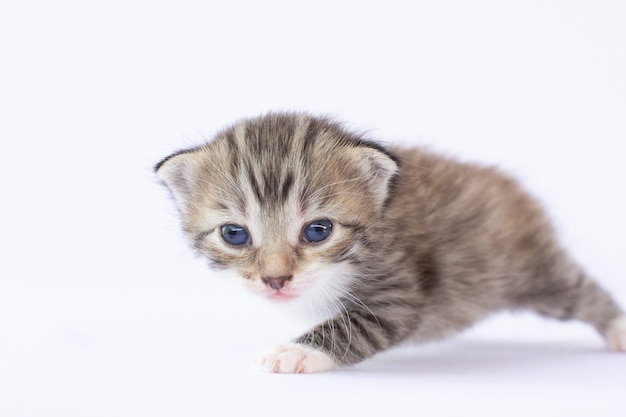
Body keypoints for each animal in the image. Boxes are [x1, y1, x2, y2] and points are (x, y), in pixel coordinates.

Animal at [155, 112, 624, 372]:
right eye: (234, 234)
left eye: (317, 230)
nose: (275, 280)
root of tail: (513, 187)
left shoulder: (400, 289)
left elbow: (357, 326)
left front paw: (295, 352)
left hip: (536, 272)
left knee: (581, 292)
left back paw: (618, 329)